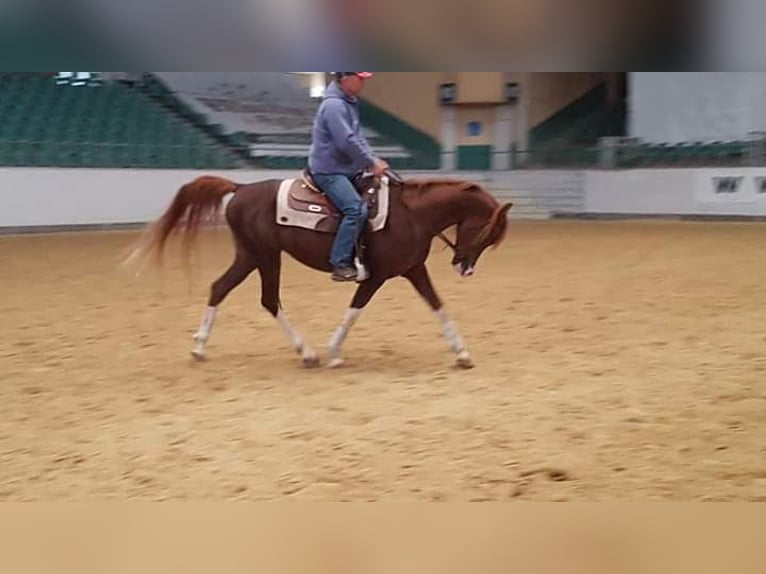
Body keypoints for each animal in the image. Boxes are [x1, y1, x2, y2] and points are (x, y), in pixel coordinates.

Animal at [123, 171, 512, 368]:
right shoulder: (376, 276)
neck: (412, 214)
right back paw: (307, 352)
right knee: (268, 300)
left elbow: (438, 306)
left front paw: (462, 352)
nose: (465, 267)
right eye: (486, 231)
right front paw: (334, 351)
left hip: (249, 255)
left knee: (220, 288)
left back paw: (200, 347)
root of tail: (242, 188)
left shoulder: (413, 269)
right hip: (266, 256)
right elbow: (354, 311)